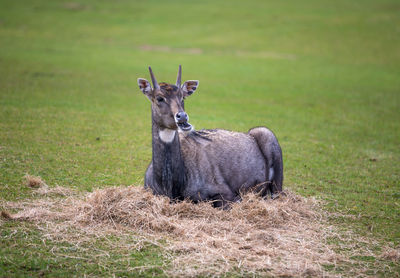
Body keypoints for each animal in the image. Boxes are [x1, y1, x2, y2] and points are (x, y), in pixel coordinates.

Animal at [139, 66, 282, 207]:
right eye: (159, 98)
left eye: (182, 97)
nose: (182, 117)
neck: (173, 184)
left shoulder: (226, 193)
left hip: (267, 137)